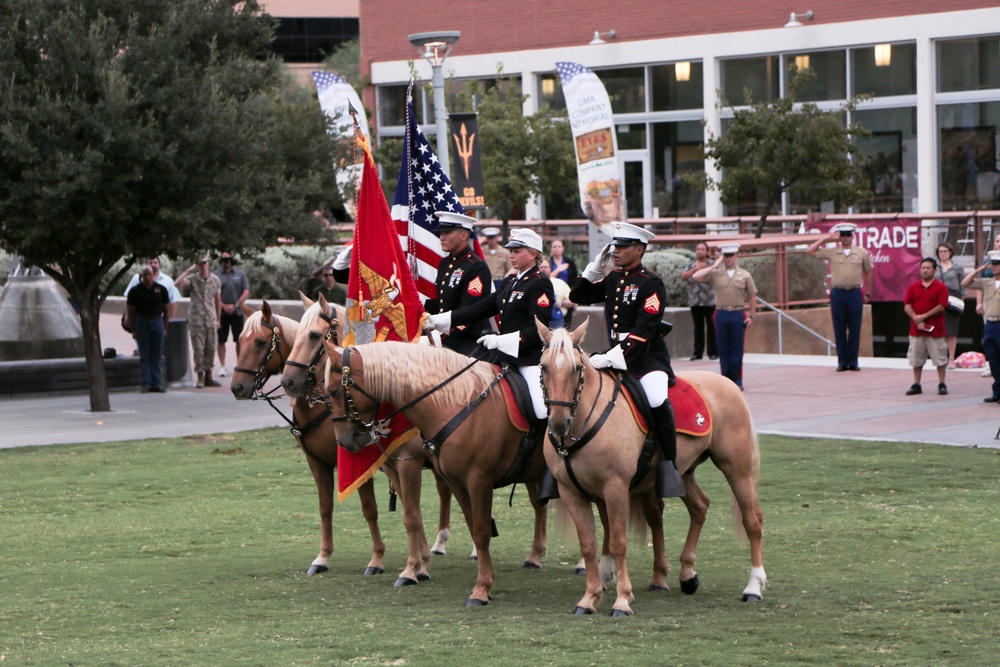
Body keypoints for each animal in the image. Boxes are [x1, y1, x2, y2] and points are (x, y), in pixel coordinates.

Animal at [230, 298, 454, 584]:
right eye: (239, 341)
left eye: (260, 342)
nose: (237, 387)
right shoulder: (317, 463)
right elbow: (325, 508)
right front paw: (322, 558)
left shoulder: (359, 461)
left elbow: (370, 509)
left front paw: (377, 560)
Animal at [318, 336, 552, 608]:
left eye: (334, 391)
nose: (344, 442)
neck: (458, 403)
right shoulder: (457, 482)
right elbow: (472, 529)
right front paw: (483, 580)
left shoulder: (478, 481)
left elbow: (480, 531)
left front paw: (480, 589)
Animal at [540, 320, 764, 620]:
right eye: (543, 367)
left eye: (577, 368)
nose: (559, 423)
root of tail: (727, 382)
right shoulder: (571, 493)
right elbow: (588, 545)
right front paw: (589, 598)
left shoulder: (615, 488)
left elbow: (618, 543)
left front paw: (622, 600)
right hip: (682, 472)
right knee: (700, 507)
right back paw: (686, 574)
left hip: (736, 469)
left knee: (752, 520)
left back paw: (754, 586)